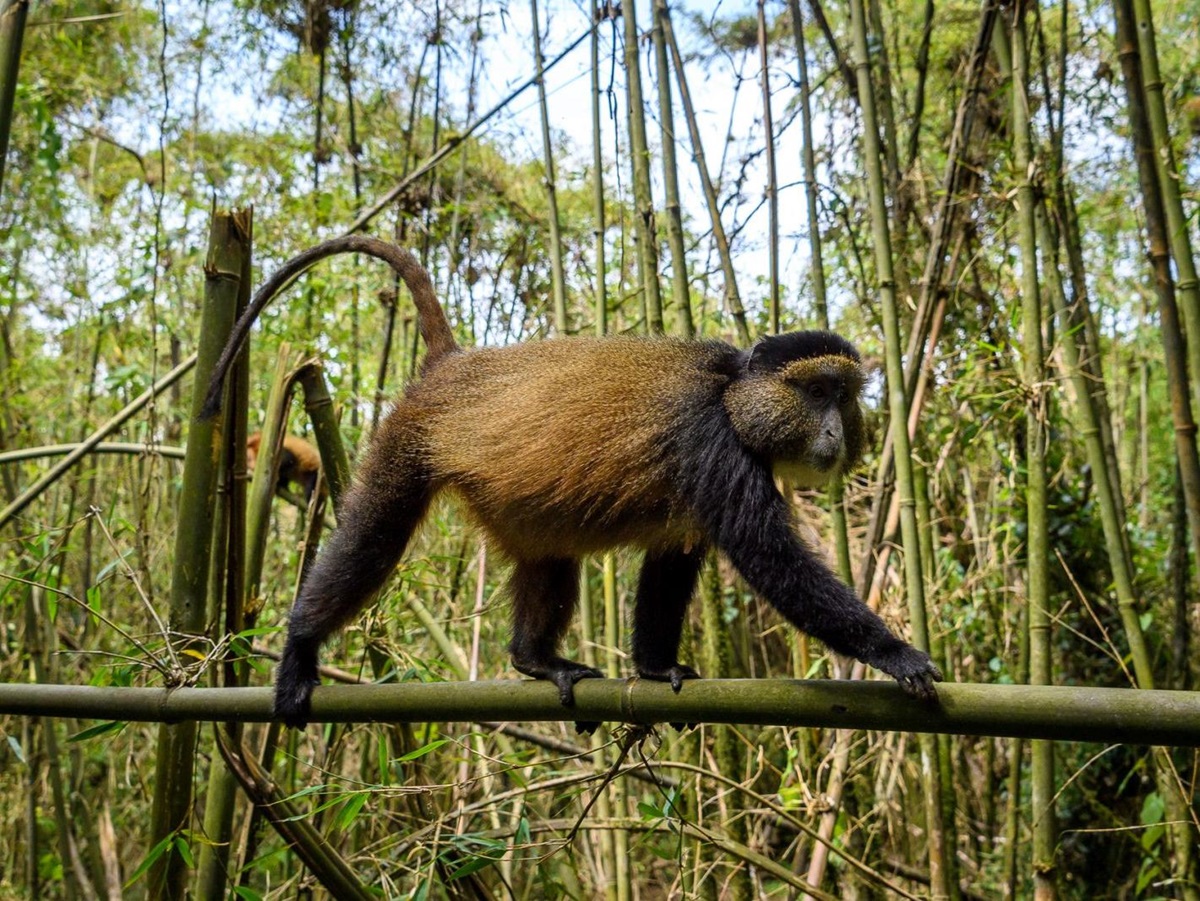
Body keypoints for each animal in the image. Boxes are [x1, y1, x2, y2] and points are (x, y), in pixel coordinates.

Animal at [201, 237, 942, 728]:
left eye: (844, 397)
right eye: (816, 391)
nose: (836, 432)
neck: (734, 395)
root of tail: (452, 366)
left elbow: (672, 566)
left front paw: (654, 669)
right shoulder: (712, 444)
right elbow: (772, 560)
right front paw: (896, 653)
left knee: (549, 559)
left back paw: (536, 661)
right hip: (405, 447)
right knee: (370, 542)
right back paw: (300, 647)